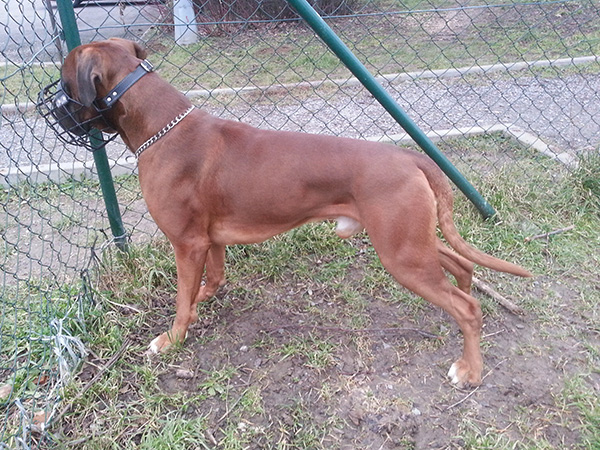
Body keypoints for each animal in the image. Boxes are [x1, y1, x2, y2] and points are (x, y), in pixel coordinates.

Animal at [42, 38, 532, 388]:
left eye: (64, 82)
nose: (51, 110)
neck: (161, 126)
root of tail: (411, 157)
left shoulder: (186, 243)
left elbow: (181, 302)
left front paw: (174, 337)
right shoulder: (207, 242)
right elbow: (210, 279)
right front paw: (203, 299)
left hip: (401, 253)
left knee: (467, 306)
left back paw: (470, 369)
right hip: (413, 241)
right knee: (462, 266)